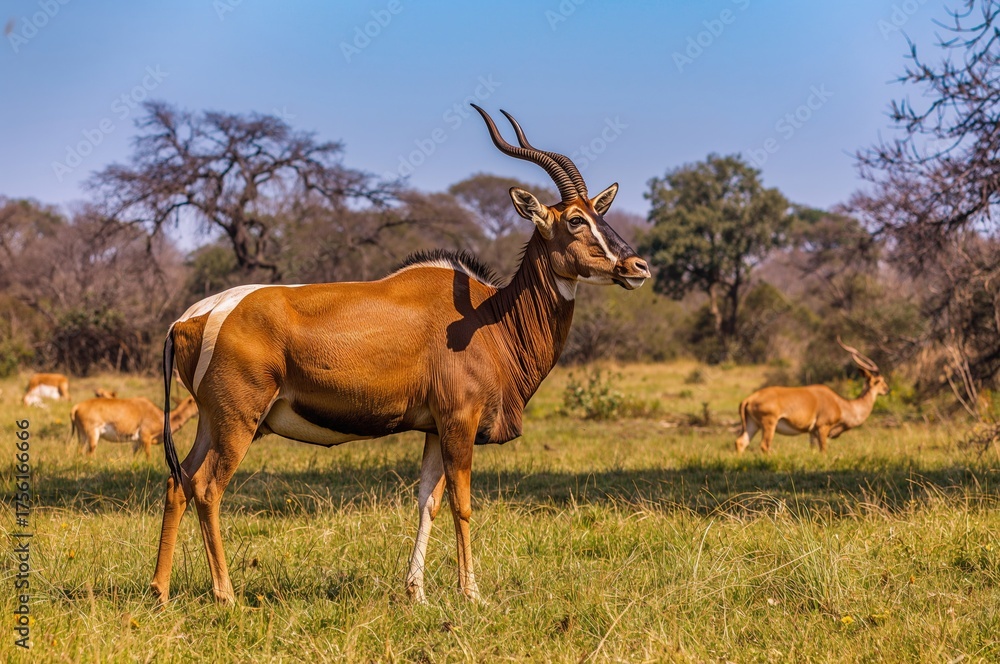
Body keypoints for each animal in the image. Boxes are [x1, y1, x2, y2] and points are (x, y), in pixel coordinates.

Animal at [70, 396, 199, 457]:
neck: (159, 415)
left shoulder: (136, 442)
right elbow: (148, 457)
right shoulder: (146, 438)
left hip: (82, 437)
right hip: (93, 436)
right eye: (194, 400)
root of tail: (77, 406)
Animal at [150, 106, 650, 606]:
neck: (487, 317)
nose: (637, 267)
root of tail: (192, 319)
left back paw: (160, 590)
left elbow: (428, 501)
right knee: (207, 488)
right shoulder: (459, 422)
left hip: (211, 422)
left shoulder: (434, 428)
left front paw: (417, 592)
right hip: (240, 422)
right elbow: (462, 504)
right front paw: (471, 594)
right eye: (575, 220)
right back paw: (225, 595)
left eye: (598, 213)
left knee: (179, 481)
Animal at [735, 338, 890, 453]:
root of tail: (749, 398)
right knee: (764, 446)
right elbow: (824, 450)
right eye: (879, 380)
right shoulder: (822, 428)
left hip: (753, 425)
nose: (887, 389)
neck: (841, 404)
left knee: (740, 442)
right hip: (769, 425)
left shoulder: (812, 433)